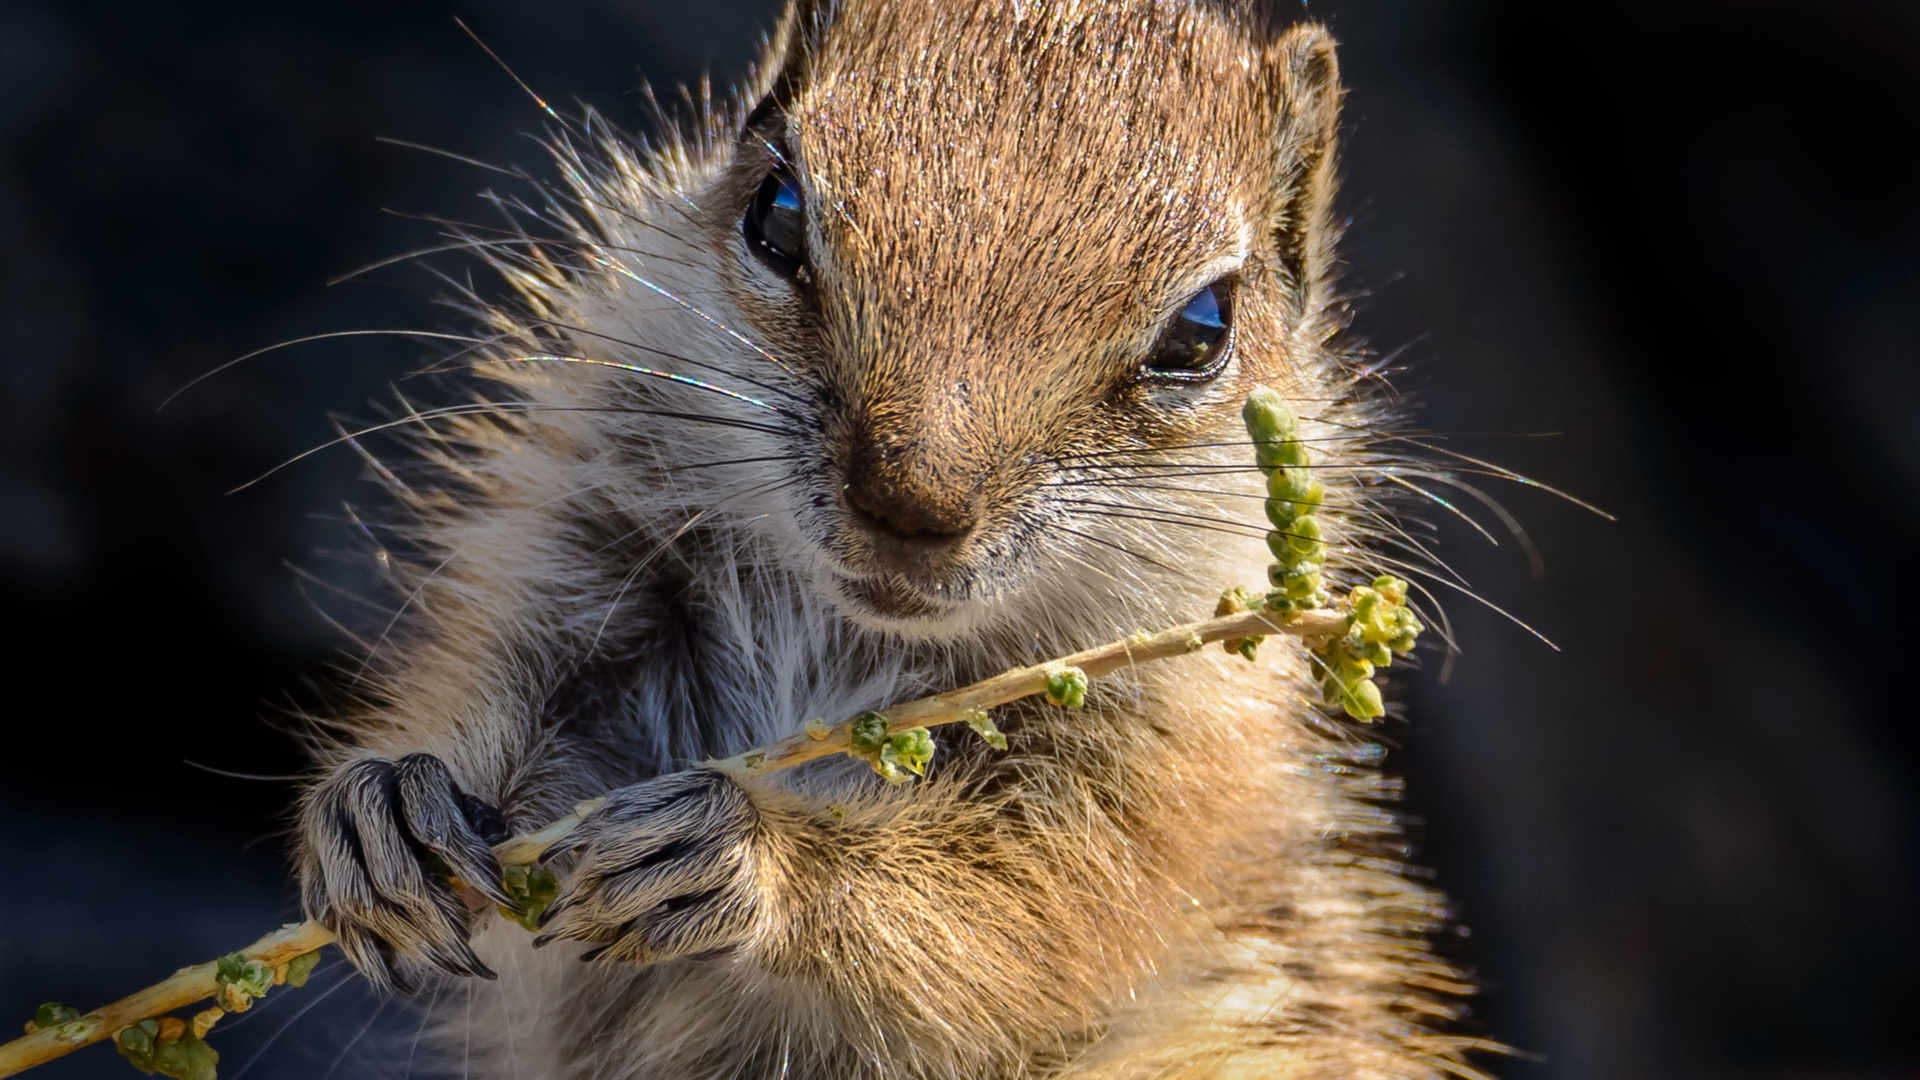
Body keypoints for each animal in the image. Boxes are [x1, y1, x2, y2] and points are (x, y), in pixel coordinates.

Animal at [291, 0, 1489, 1068]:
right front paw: (387, 811)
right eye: (775, 211)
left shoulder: (1166, 781)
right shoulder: (581, 547)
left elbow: (1019, 916)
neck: (849, 638)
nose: (913, 503)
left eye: (1203, 329)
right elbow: (504, 684)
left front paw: (755, 854)